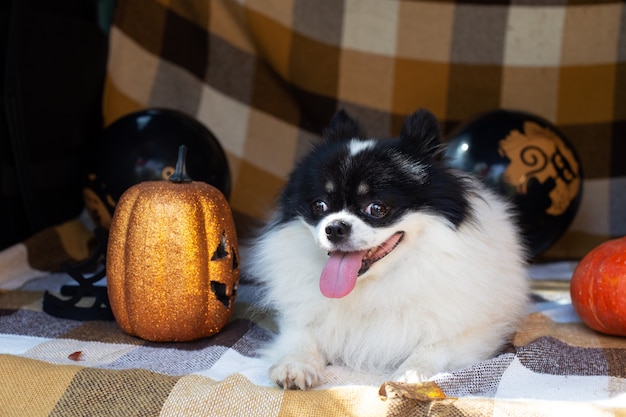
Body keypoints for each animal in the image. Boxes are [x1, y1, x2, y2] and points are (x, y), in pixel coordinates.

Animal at [244, 109, 528, 388]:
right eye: (319, 205)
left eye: (377, 208)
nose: (334, 228)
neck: (375, 286)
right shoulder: (300, 318)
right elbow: (302, 338)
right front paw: (295, 365)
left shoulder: (478, 331)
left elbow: (434, 347)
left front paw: (410, 374)